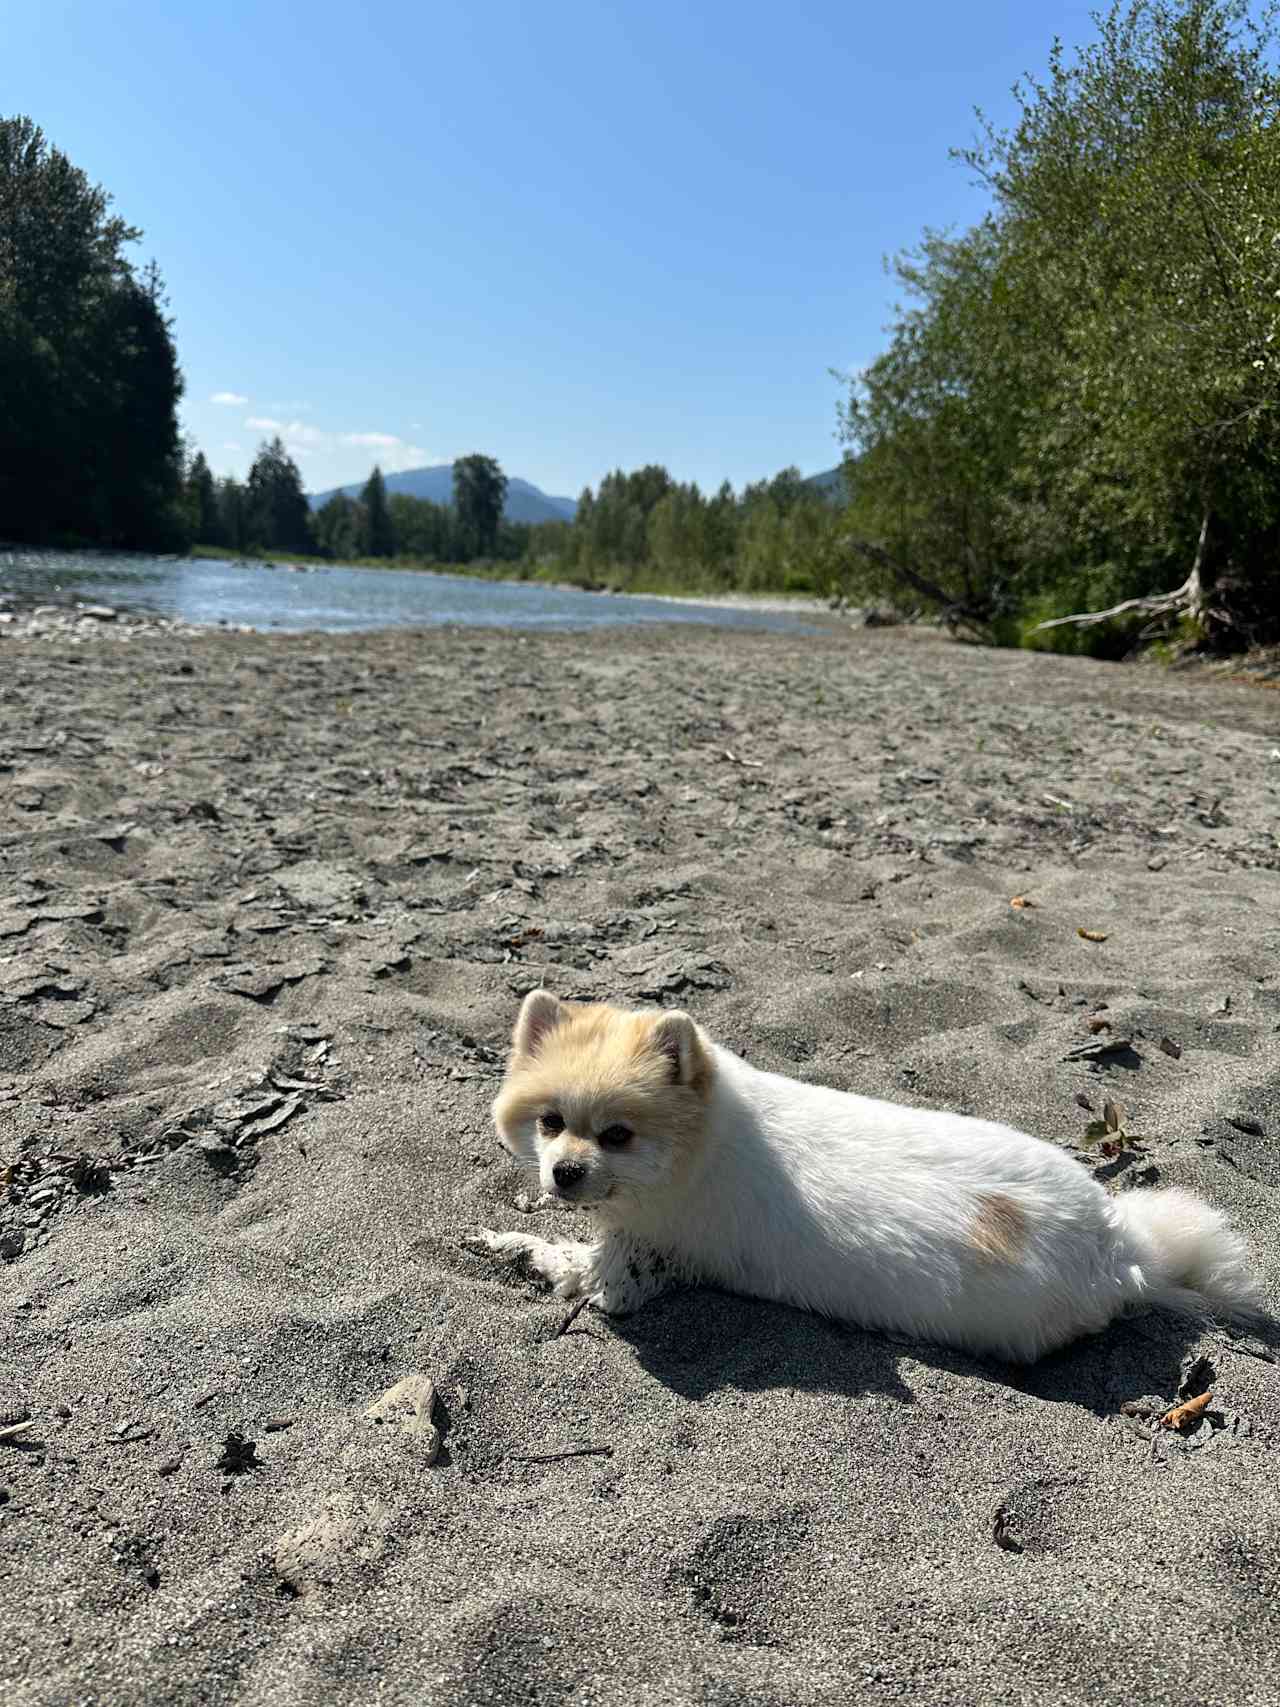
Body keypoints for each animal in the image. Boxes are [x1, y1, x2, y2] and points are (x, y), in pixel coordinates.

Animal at [467, 990, 1262, 1358]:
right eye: (550, 1122)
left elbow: (553, 1259)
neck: (706, 1140)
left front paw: (498, 1244)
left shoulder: (630, 1267)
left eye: (618, 1135)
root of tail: (1118, 1243)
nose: (565, 1173)